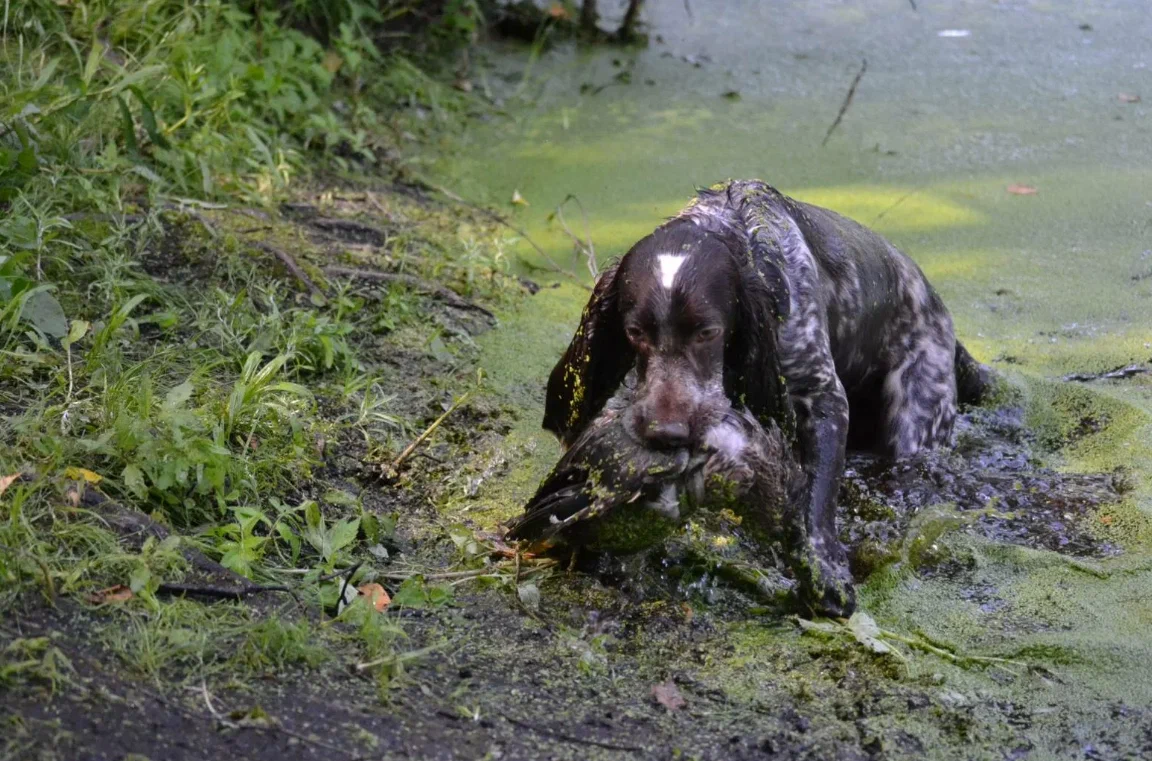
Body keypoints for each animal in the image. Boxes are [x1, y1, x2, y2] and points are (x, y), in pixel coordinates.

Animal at [541, 179, 990, 617]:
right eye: (635, 332)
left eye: (708, 332)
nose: (666, 433)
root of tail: (937, 306)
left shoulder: (822, 396)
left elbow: (817, 496)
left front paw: (824, 572)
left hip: (917, 417)